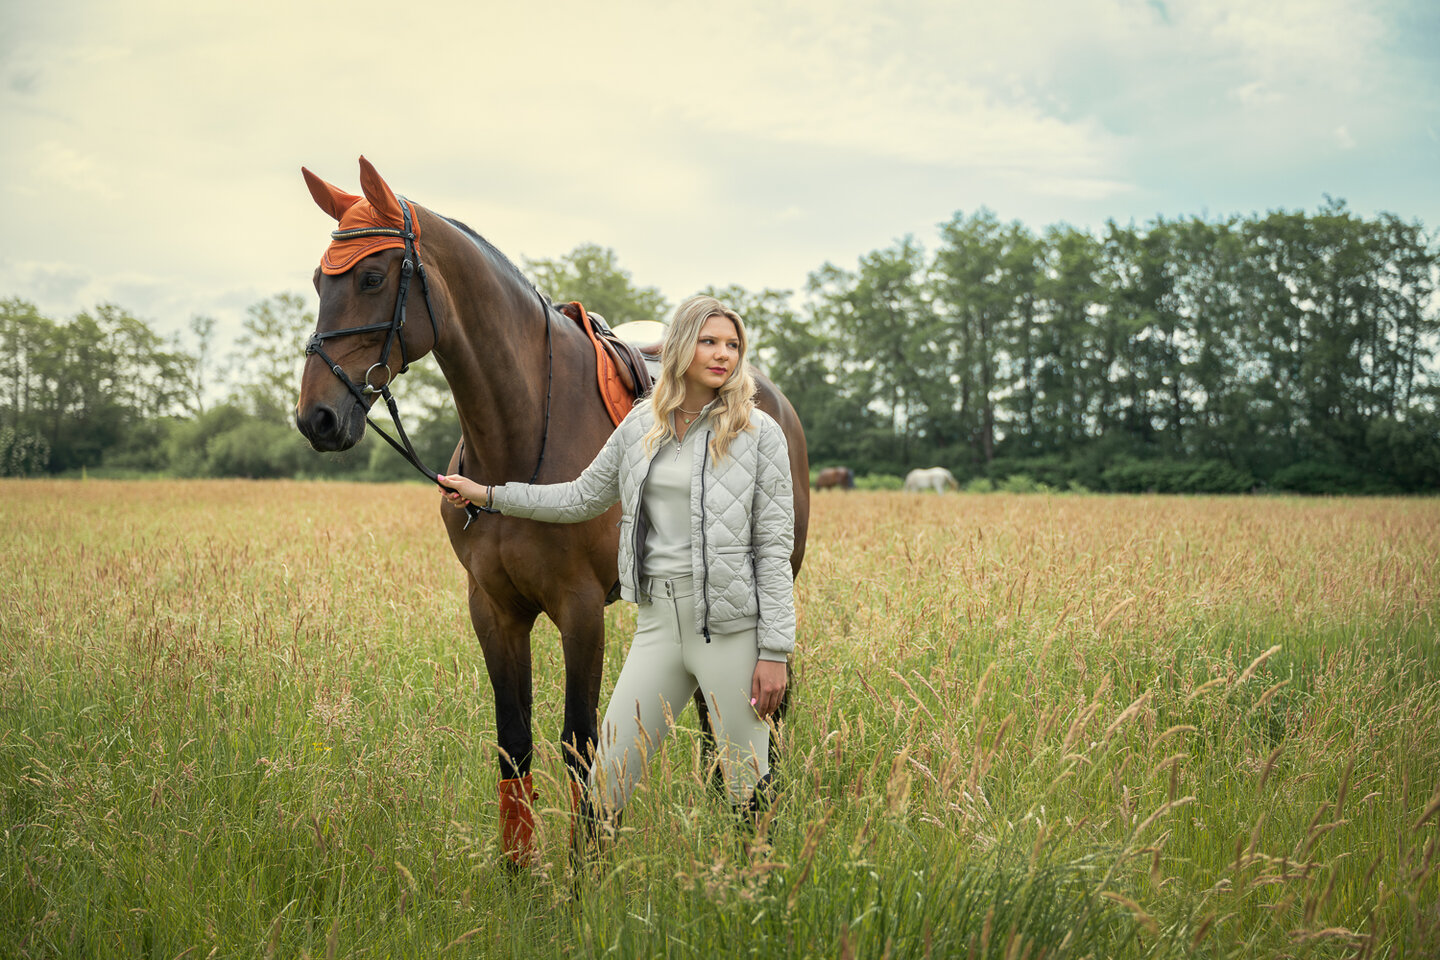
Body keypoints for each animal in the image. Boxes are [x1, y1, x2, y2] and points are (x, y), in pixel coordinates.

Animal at [293, 158, 810, 866]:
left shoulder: (580, 609)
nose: (316, 418)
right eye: (320, 280)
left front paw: (582, 869)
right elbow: (514, 744)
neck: (518, 440)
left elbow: (580, 744)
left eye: (372, 278)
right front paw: (518, 873)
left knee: (759, 717)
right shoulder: (494, 609)